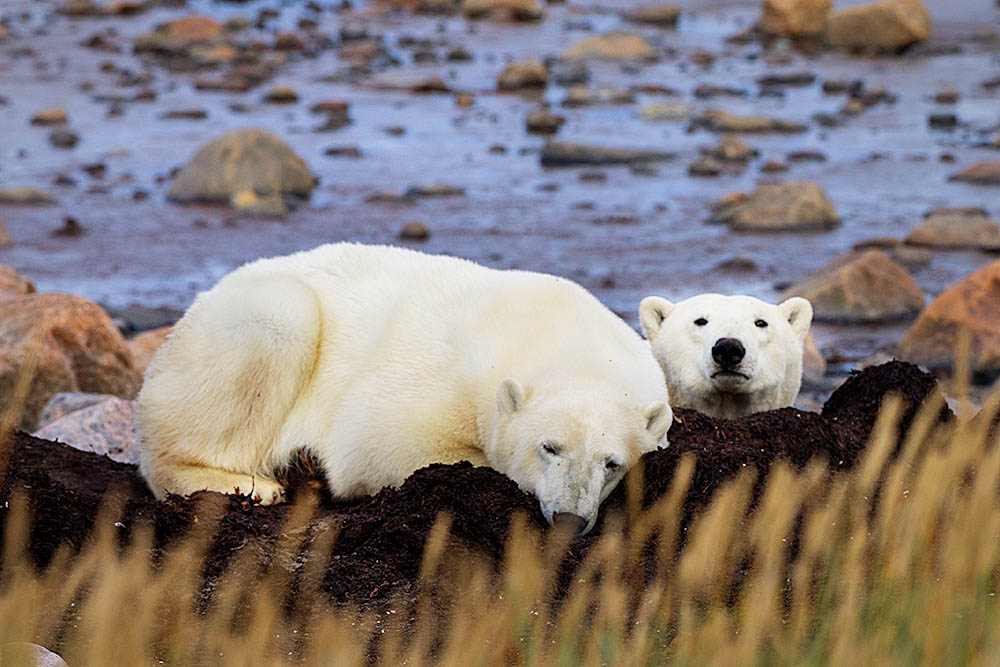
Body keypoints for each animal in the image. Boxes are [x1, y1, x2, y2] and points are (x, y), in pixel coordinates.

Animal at [139, 243, 672, 536]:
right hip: (243, 324)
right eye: (549, 447)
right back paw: (255, 483)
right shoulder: (443, 376)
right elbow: (377, 442)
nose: (569, 519)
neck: (553, 333)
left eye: (612, 463)